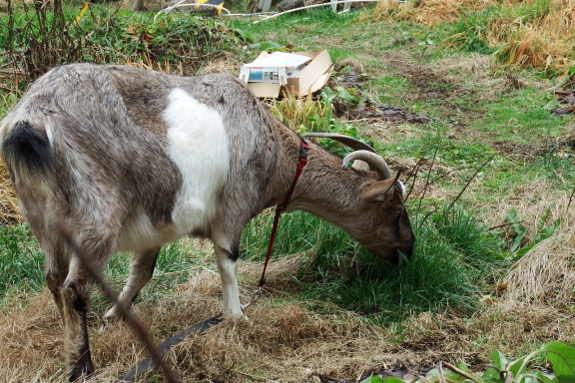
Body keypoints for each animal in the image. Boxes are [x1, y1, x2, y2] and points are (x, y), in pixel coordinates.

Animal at [0, 63, 414, 380]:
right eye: (395, 209)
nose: (408, 251)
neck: (274, 152)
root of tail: (30, 119)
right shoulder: (233, 206)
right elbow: (228, 261)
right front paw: (236, 316)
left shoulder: (160, 218)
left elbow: (143, 270)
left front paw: (114, 314)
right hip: (95, 213)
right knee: (74, 287)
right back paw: (82, 365)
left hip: (44, 218)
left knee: (54, 280)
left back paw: (70, 346)